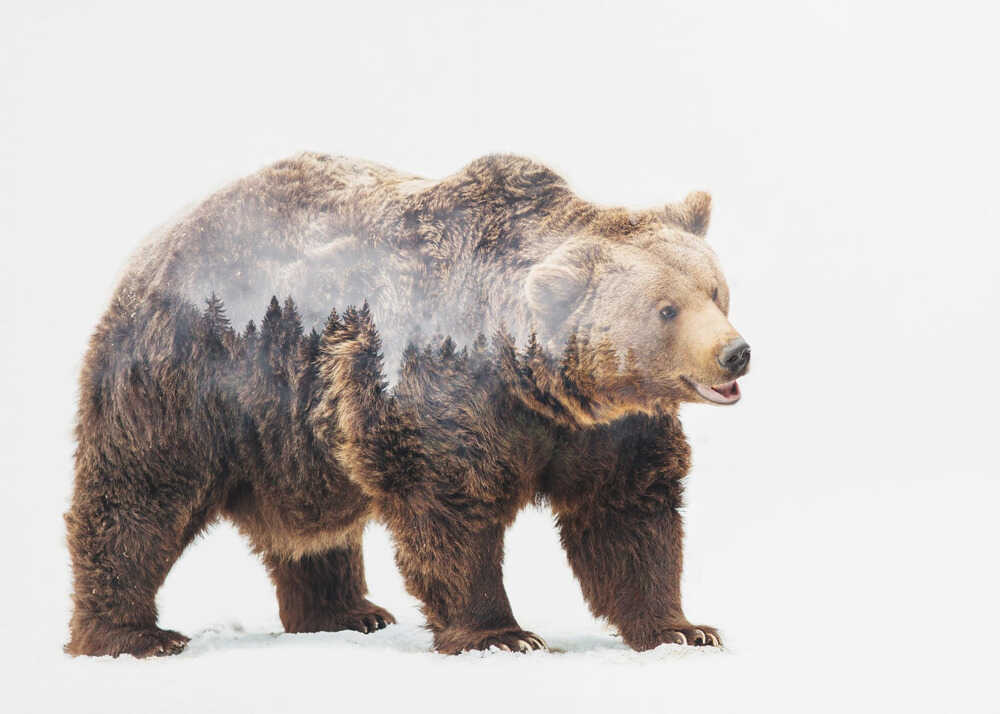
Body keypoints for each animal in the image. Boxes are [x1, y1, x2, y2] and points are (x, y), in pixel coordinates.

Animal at [65, 153, 750, 657]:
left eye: (716, 290)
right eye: (666, 309)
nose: (735, 353)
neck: (536, 383)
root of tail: (156, 242)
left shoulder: (607, 430)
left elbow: (627, 515)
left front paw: (683, 628)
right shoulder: (442, 390)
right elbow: (451, 509)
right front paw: (503, 635)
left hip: (295, 432)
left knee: (313, 529)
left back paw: (347, 612)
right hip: (191, 376)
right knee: (141, 494)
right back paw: (132, 634)